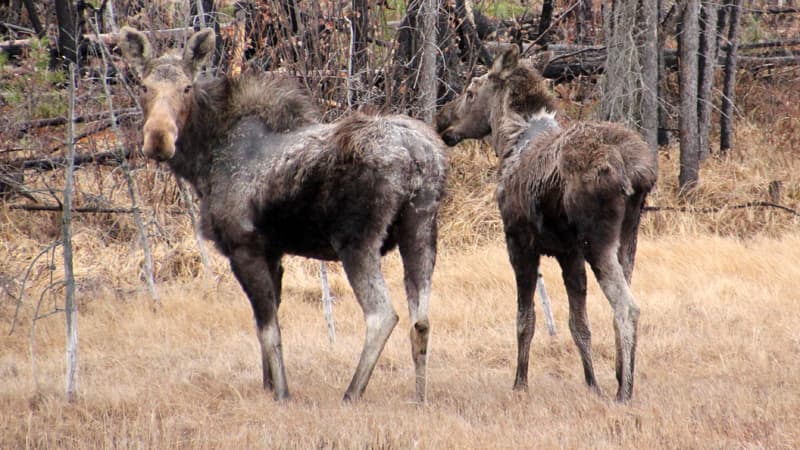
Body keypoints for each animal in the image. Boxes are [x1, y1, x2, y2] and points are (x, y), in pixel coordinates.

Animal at [119, 27, 446, 400]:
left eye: (186, 87)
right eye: (143, 86)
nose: (158, 139)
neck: (202, 162)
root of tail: (417, 155)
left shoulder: (244, 248)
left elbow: (269, 330)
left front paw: (282, 394)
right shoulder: (273, 253)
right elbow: (269, 323)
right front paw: (268, 385)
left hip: (357, 241)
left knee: (382, 315)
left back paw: (351, 393)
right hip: (420, 228)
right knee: (421, 320)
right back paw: (419, 397)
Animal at [438, 47, 656, 402]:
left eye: (471, 92)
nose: (443, 119)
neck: (509, 141)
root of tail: (636, 172)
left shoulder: (519, 243)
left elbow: (525, 319)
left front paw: (520, 383)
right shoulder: (569, 253)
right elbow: (578, 324)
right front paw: (592, 384)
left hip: (597, 241)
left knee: (628, 308)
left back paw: (625, 392)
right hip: (628, 237)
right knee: (618, 306)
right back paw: (620, 377)